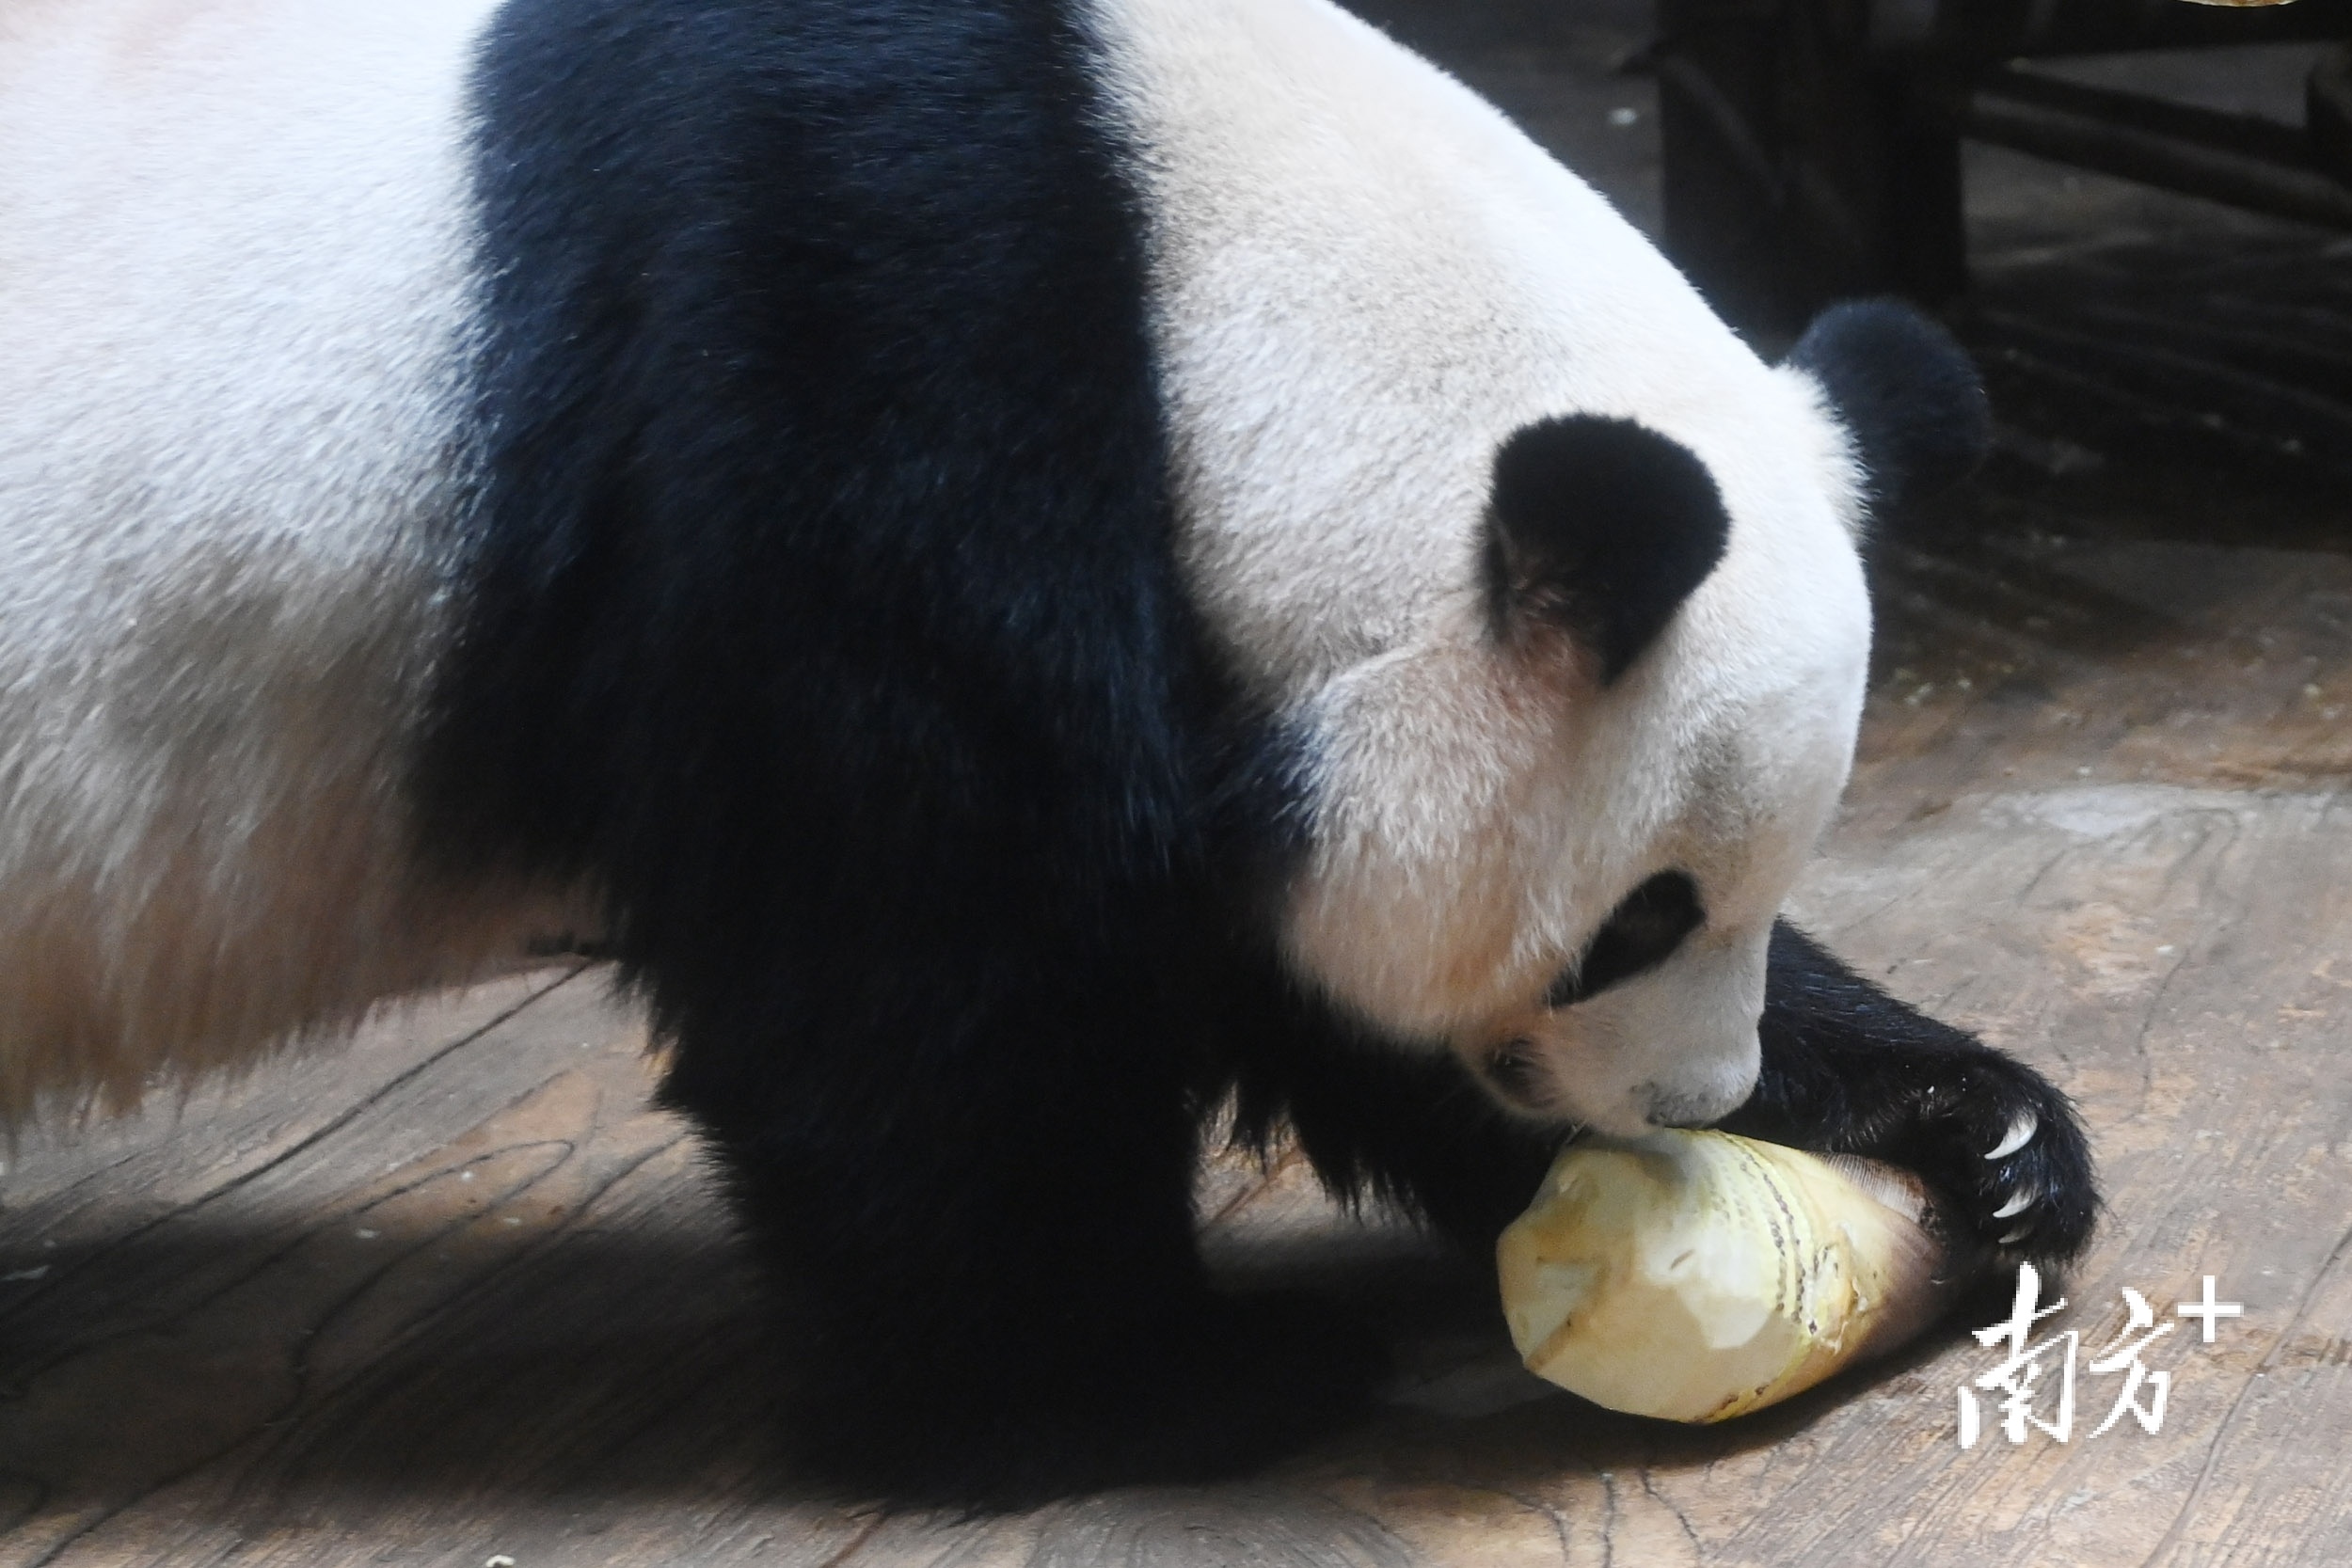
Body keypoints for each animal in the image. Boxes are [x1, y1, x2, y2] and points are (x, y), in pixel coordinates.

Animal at [0, 0, 2098, 1504]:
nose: (1692, 1098)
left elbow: (1254, 958)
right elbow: (919, 955)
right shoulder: (845, 369)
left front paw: (1972, 1131)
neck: (1190, 246)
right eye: (1636, 915)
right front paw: (1125, 1389)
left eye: (1755, 884)